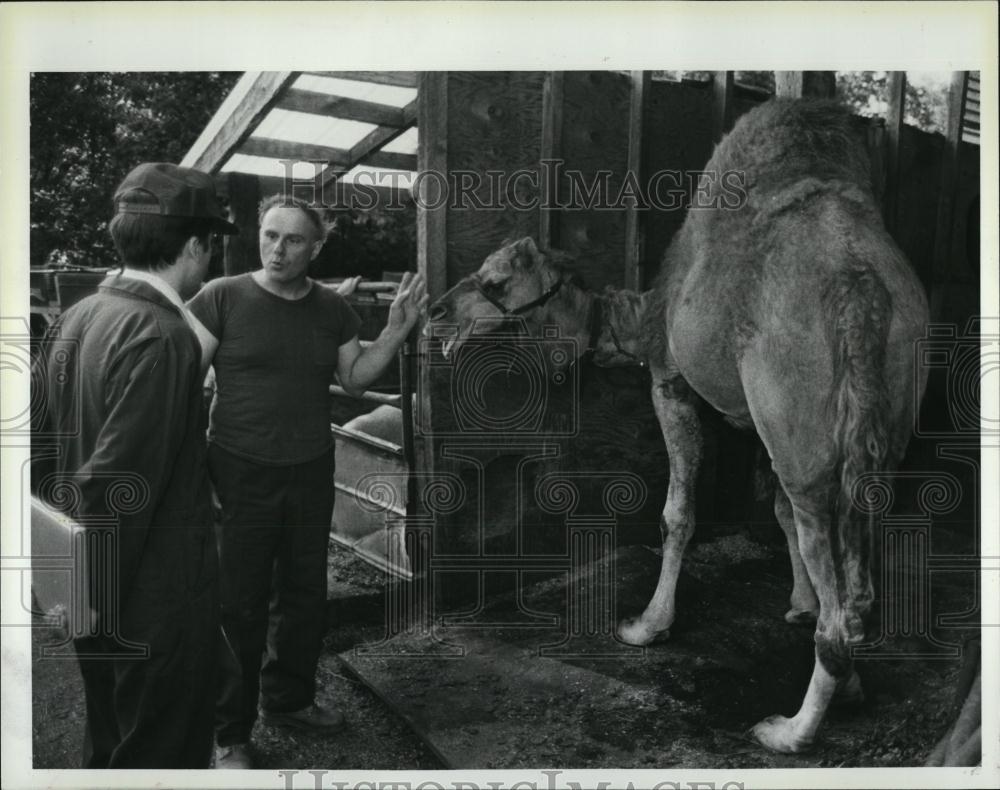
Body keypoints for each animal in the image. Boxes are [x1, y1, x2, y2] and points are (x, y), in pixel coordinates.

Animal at [428, 99, 928, 756]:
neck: (642, 317)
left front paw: (647, 625)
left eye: (494, 283)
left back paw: (789, 731)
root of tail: (860, 294)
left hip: (803, 438)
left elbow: (678, 514)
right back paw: (841, 681)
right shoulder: (757, 421)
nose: (435, 313)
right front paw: (796, 603)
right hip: (882, 425)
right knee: (854, 574)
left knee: (831, 580)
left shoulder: (671, 381)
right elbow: (775, 513)